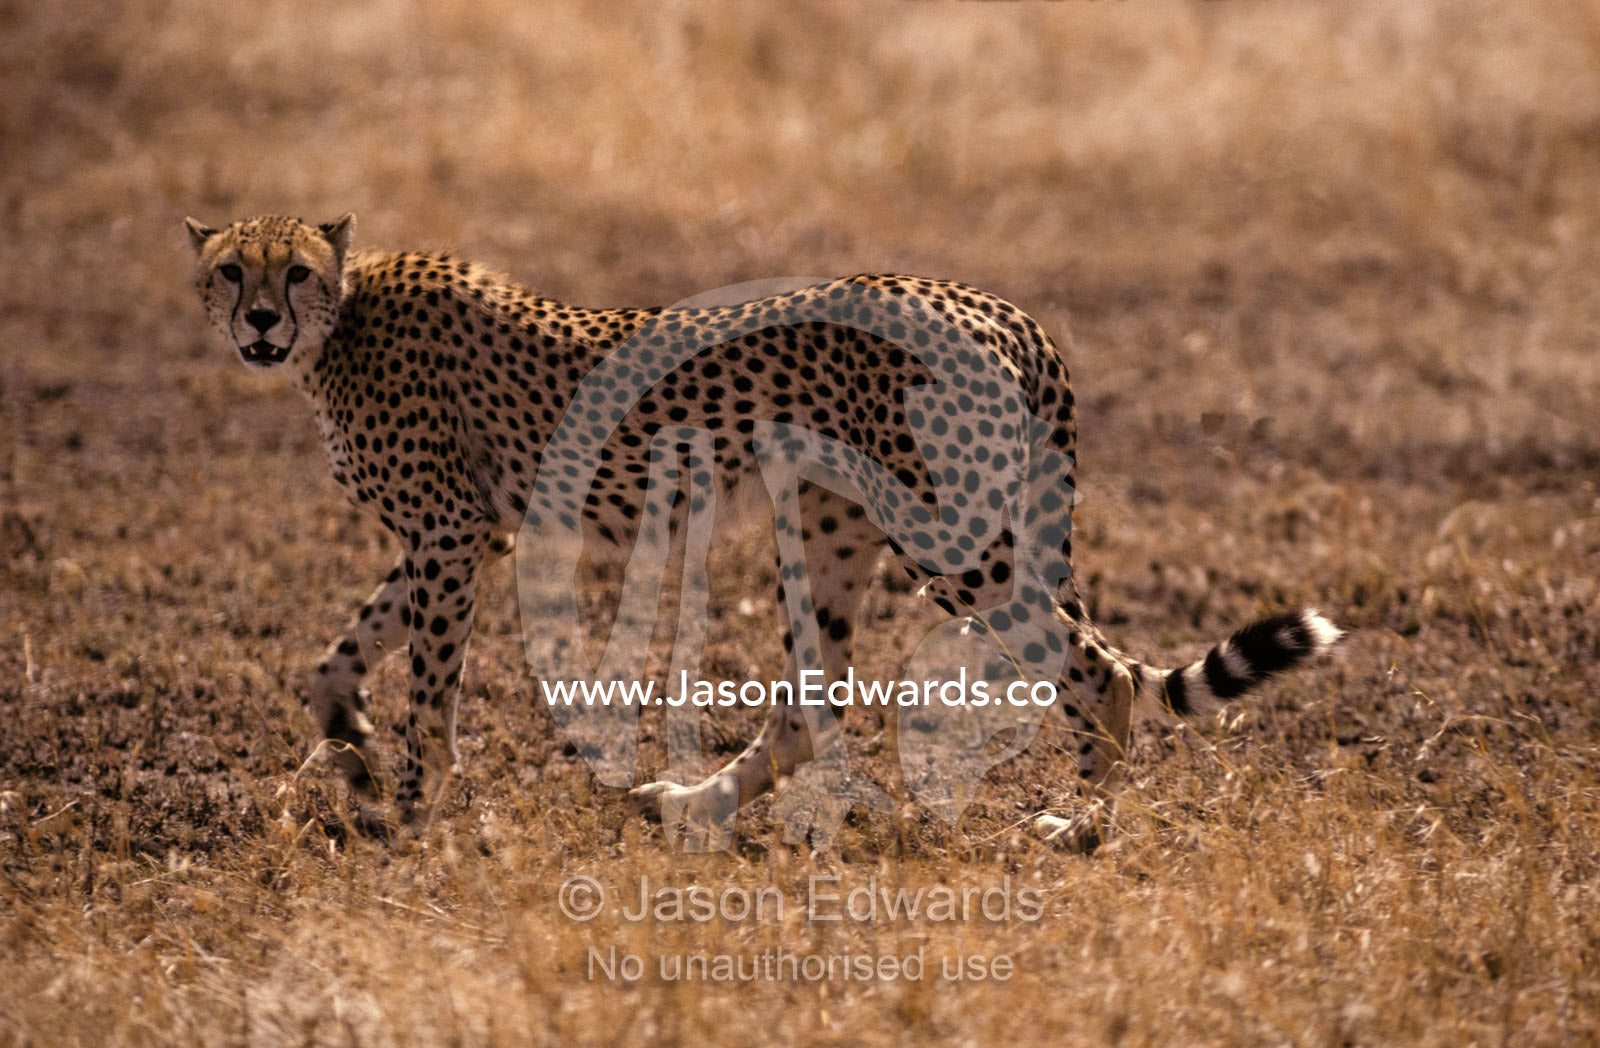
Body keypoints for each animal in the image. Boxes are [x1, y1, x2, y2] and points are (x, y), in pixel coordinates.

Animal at [185, 212, 1342, 851]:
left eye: (293, 270)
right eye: (230, 270)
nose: (259, 320)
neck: (344, 320)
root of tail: (996, 304)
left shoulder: (450, 532)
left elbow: (428, 687)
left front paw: (413, 807)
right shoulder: (467, 537)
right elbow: (335, 655)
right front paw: (351, 743)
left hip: (951, 537)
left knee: (1094, 670)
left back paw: (1082, 826)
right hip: (830, 526)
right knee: (816, 700)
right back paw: (694, 805)